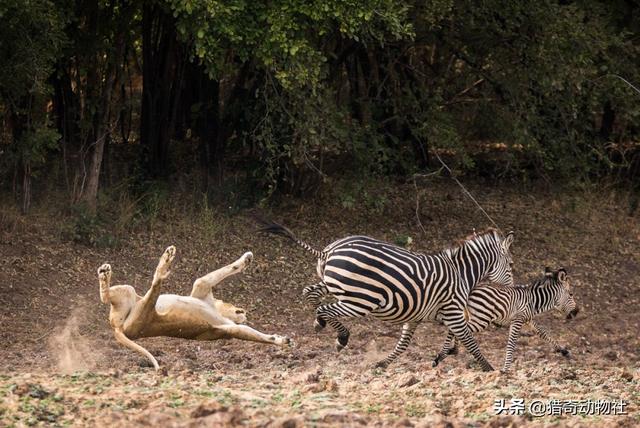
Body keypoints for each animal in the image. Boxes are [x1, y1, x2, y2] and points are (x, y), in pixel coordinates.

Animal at [97, 246, 290, 370]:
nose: (246, 314)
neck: (217, 308)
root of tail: (117, 328)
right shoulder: (201, 286)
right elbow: (229, 268)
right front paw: (247, 258)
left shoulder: (225, 326)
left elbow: (250, 333)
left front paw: (279, 340)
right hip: (131, 293)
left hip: (140, 303)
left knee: (148, 285)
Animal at [260, 224, 516, 372]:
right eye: (511, 266)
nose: (512, 290)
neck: (461, 273)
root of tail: (328, 250)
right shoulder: (453, 311)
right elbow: (470, 340)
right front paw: (489, 369)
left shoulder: (419, 316)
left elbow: (404, 344)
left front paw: (384, 364)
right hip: (360, 300)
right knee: (325, 309)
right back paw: (341, 337)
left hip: (334, 284)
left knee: (310, 293)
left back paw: (319, 324)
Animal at [432, 268, 576, 372]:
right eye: (571, 294)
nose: (576, 312)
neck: (534, 300)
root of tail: (470, 290)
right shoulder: (518, 320)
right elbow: (511, 343)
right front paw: (505, 369)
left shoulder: (527, 319)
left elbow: (543, 333)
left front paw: (563, 351)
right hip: (482, 318)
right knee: (459, 330)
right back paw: (444, 354)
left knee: (457, 328)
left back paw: (448, 352)